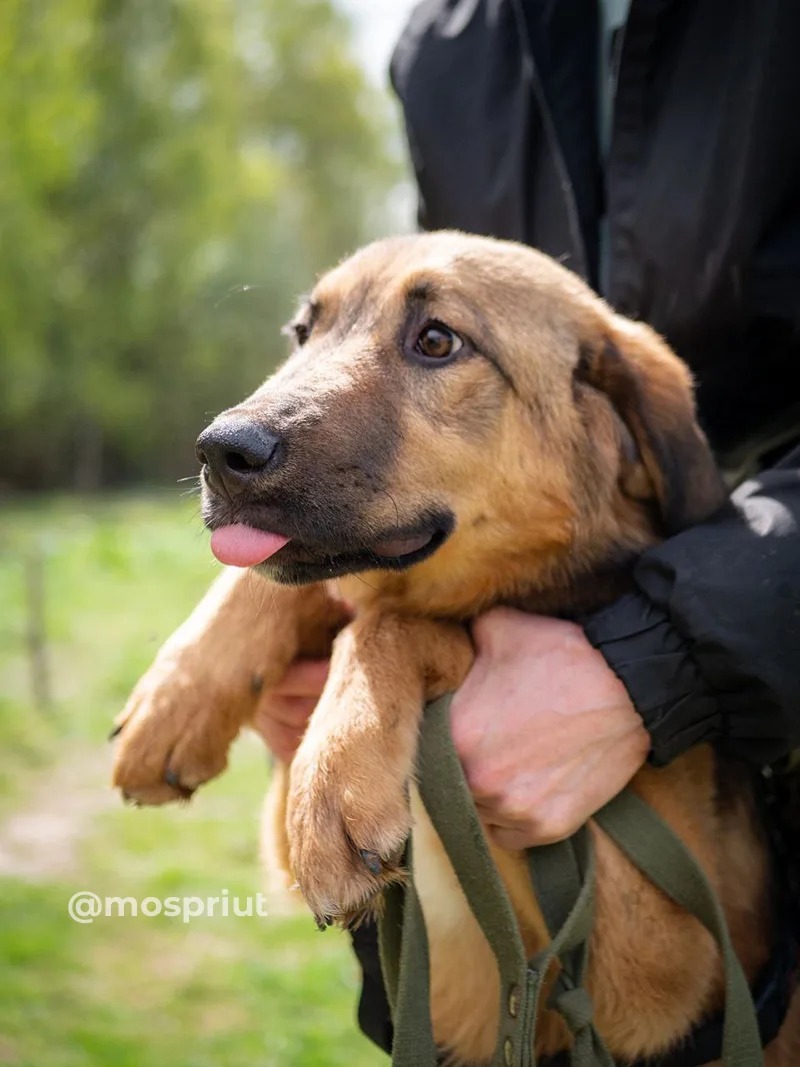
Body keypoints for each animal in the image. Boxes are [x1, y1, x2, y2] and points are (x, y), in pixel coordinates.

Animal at [111, 233, 800, 1067]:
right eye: (304, 333)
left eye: (437, 341)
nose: (219, 450)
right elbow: (289, 580)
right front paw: (172, 704)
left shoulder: (653, 956)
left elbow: (397, 621)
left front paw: (337, 777)